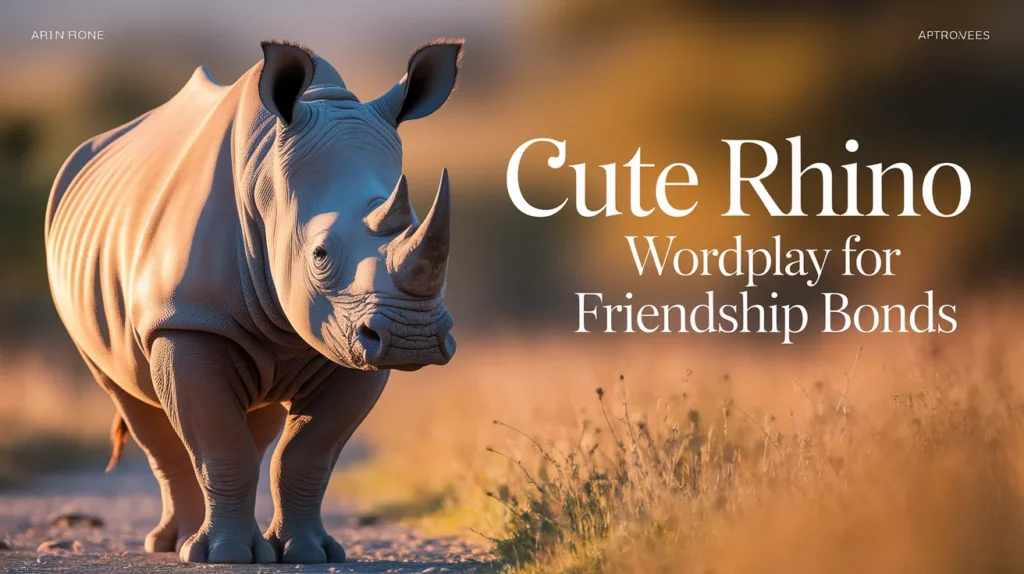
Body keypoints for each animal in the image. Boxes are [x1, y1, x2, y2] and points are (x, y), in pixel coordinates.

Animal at [44, 39, 462, 564]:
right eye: (320, 254)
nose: (412, 338)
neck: (268, 187)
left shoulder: (352, 341)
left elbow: (308, 454)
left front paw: (312, 554)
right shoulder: (188, 320)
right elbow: (222, 446)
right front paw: (224, 556)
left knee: (257, 421)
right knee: (132, 400)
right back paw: (174, 543)